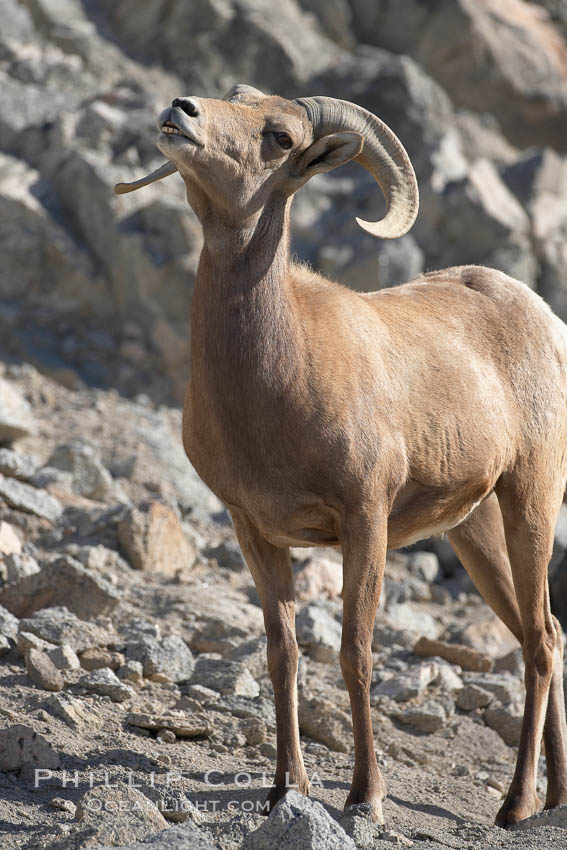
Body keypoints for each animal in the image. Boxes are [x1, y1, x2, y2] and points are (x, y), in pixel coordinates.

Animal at [116, 83, 567, 824]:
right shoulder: (255, 532)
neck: (277, 377)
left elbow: (356, 653)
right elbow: (284, 654)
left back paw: (515, 806)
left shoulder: (365, 521)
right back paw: (553, 797)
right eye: (233, 96)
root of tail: (542, 317)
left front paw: (365, 798)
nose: (181, 110)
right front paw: (284, 790)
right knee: (548, 634)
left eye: (279, 137)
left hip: (528, 501)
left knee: (536, 642)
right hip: (473, 533)